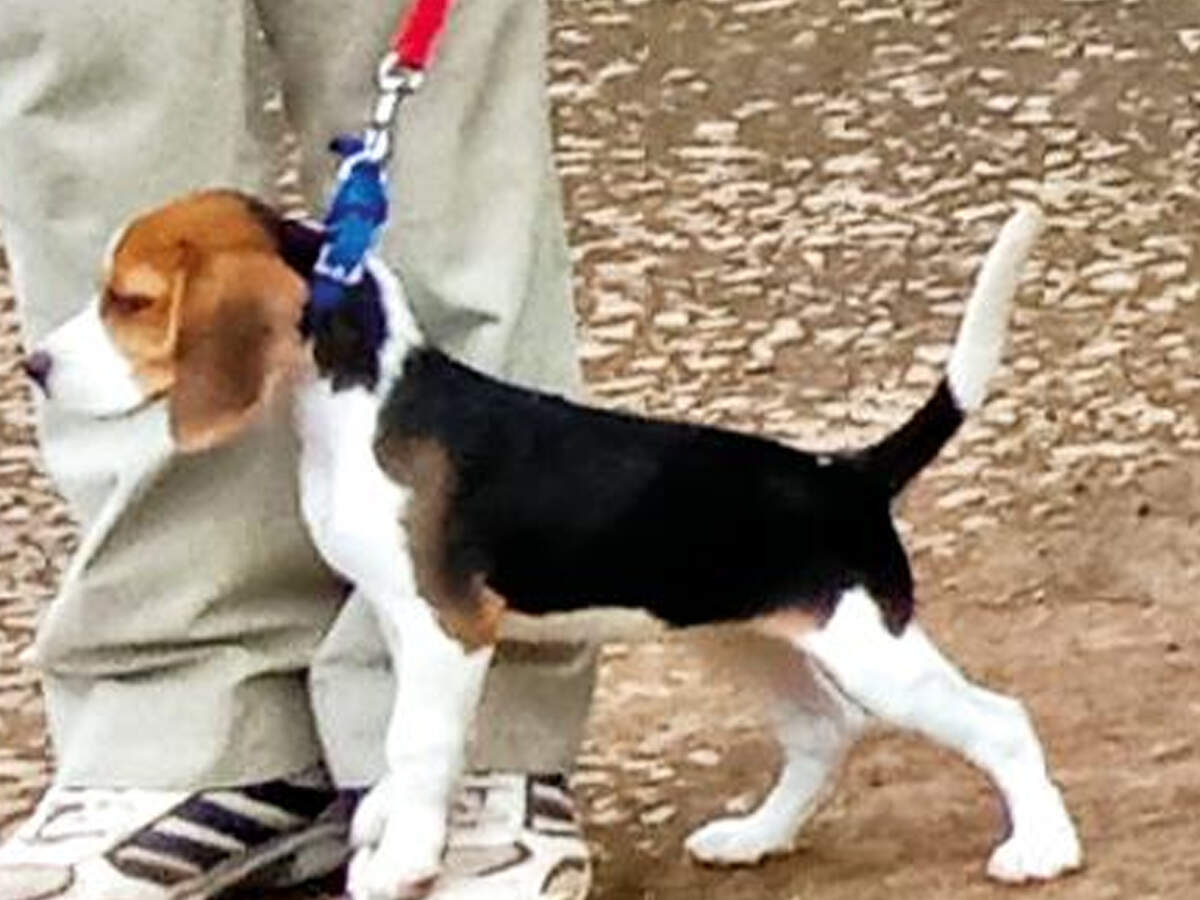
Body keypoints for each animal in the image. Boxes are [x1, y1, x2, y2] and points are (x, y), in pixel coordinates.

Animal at [23, 190, 1082, 899]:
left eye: (130, 299)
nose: (33, 365)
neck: (362, 403)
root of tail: (843, 473)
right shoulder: (403, 623)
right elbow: (402, 742)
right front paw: (388, 821)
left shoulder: (447, 630)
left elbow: (420, 742)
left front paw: (404, 860)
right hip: (744, 636)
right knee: (824, 731)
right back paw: (754, 836)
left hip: (870, 646)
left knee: (1001, 721)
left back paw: (1040, 846)